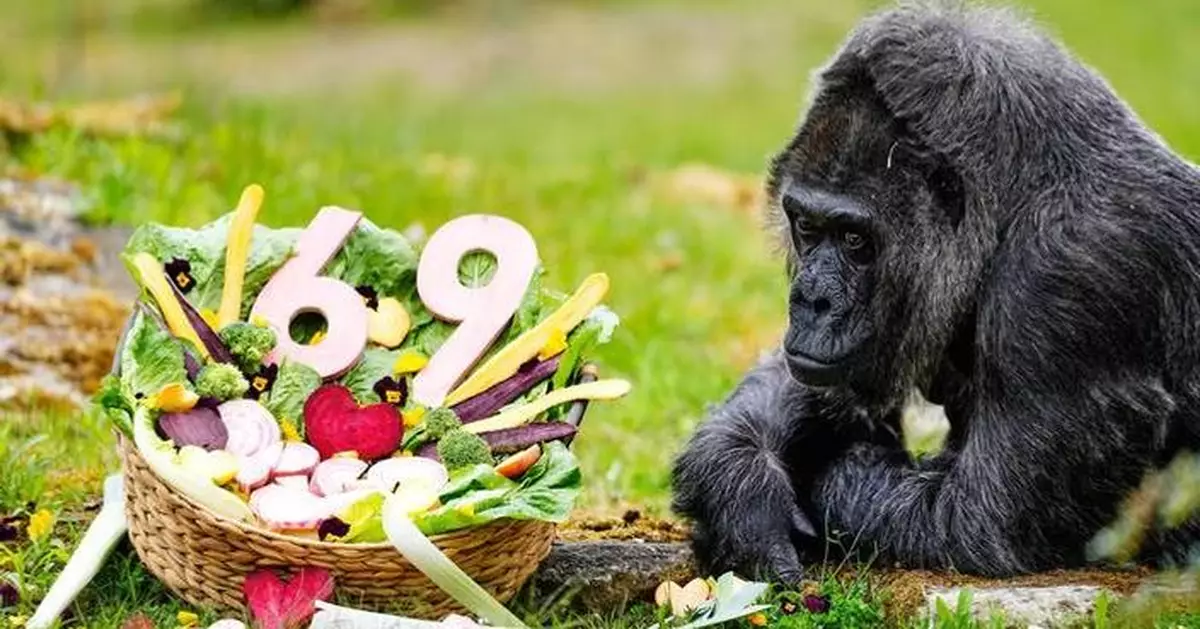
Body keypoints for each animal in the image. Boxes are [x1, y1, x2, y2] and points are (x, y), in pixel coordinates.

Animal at [670, 1, 1200, 582]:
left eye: (855, 240)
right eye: (807, 226)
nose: (810, 300)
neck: (1015, 205)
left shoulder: (1073, 277)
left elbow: (976, 521)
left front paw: (825, 481)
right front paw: (741, 485)